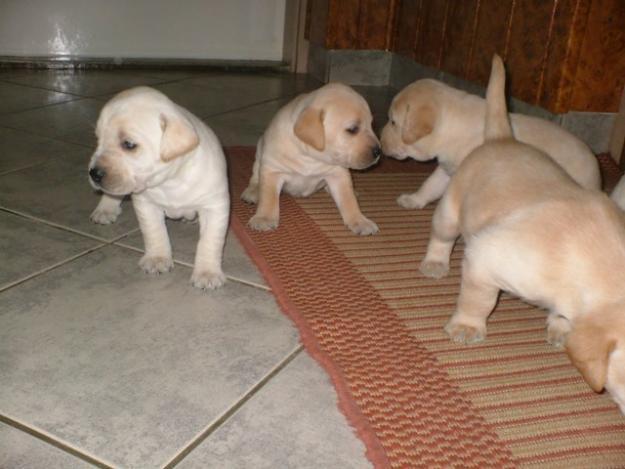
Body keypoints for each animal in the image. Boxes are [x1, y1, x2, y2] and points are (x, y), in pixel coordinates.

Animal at [89, 85, 230, 288]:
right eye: (98, 139)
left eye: (129, 144)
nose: (93, 173)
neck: (171, 180)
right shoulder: (146, 205)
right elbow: (155, 232)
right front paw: (157, 259)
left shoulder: (214, 207)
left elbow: (209, 242)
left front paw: (207, 273)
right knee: (113, 194)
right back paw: (105, 209)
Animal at [243, 82, 380, 236]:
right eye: (352, 129)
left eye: (372, 125)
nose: (378, 151)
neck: (310, 157)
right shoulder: (273, 170)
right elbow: (269, 197)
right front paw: (264, 218)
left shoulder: (338, 175)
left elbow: (348, 200)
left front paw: (359, 220)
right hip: (260, 153)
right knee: (255, 176)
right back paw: (253, 191)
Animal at [380, 66, 600, 209]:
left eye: (393, 122)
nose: (380, 144)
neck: (454, 129)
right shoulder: (447, 168)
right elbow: (431, 185)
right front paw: (414, 200)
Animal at [420, 54, 624, 414]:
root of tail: (502, 138)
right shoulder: (485, 256)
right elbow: (478, 300)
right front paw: (467, 326)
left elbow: (562, 314)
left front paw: (559, 327)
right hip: (450, 210)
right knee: (441, 236)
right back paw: (435, 264)